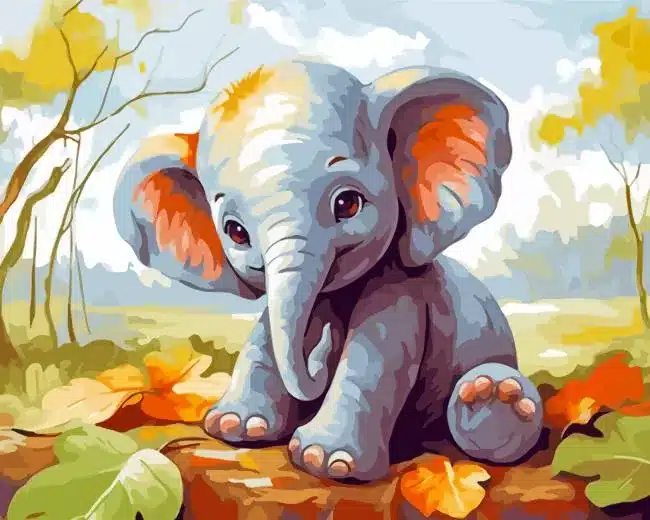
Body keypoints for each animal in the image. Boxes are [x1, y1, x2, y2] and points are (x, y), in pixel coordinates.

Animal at [113, 58, 543, 482]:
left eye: (348, 203)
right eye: (235, 232)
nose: (319, 346)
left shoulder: (403, 288)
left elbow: (376, 353)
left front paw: (325, 462)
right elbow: (265, 334)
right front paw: (235, 426)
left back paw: (494, 399)